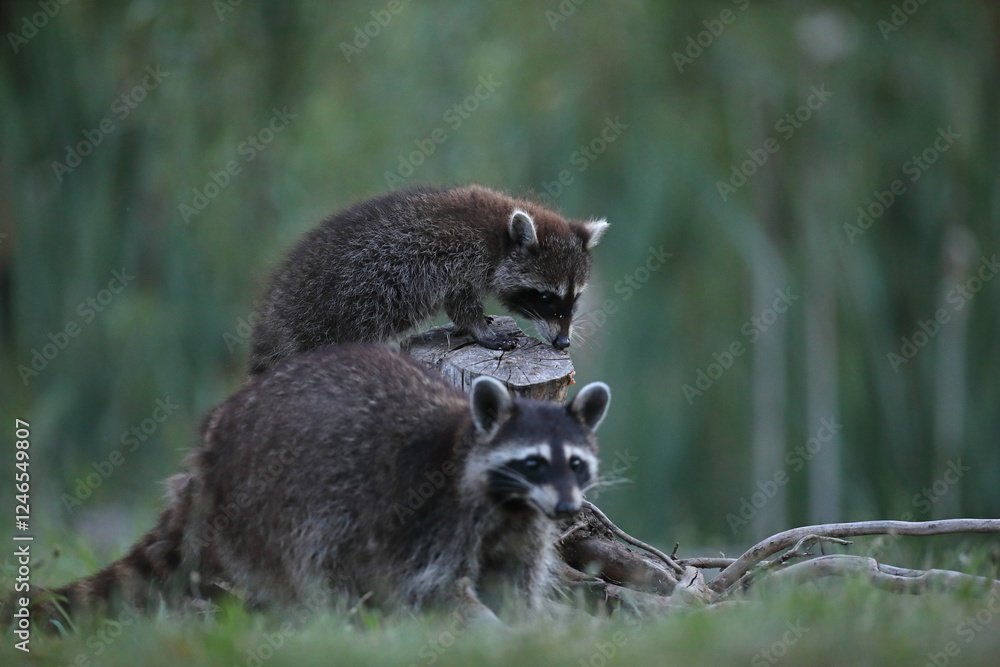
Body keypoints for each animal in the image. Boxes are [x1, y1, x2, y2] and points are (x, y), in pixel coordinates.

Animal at [15, 345, 610, 627]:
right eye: (533, 463)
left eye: (576, 464)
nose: (566, 508)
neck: (508, 499)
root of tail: (211, 446)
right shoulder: (434, 516)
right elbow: (436, 589)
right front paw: (488, 629)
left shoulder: (523, 526)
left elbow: (514, 584)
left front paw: (528, 628)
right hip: (272, 494)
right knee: (312, 554)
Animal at [248, 185, 608, 375]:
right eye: (546, 298)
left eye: (575, 298)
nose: (563, 342)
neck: (498, 236)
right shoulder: (453, 259)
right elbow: (460, 301)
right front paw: (478, 329)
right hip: (334, 312)